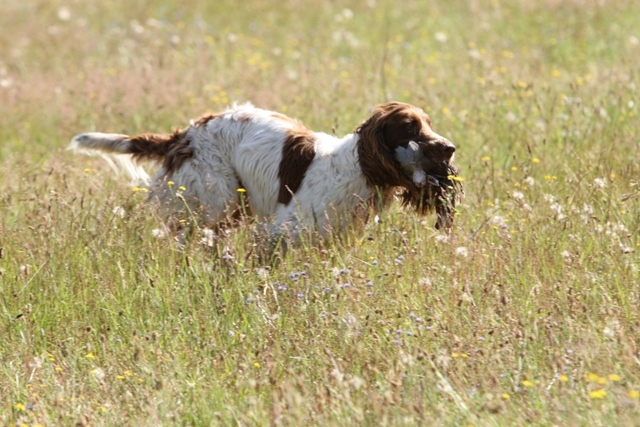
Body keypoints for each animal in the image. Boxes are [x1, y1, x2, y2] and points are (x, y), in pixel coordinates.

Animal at [69, 101, 460, 241]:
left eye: (428, 124)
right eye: (409, 128)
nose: (450, 147)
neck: (358, 171)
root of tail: (183, 135)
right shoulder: (279, 231)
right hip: (213, 200)